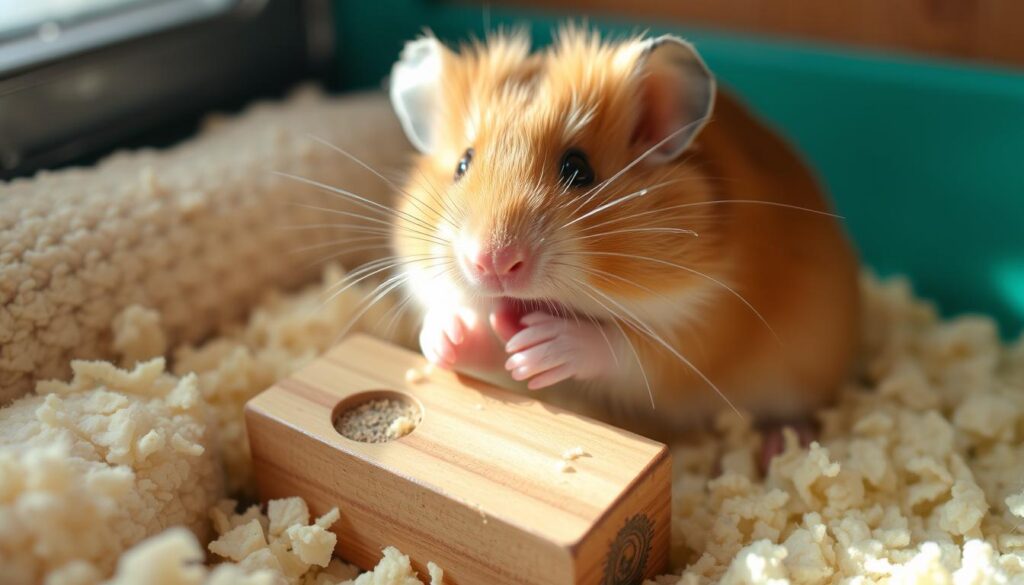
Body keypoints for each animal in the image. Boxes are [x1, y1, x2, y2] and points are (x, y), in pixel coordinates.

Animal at [387, 26, 860, 438]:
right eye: (462, 164)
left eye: (578, 168)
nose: (492, 263)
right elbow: (482, 346)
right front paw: (446, 334)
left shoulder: (703, 324)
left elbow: (622, 347)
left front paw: (542, 346)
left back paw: (783, 441)